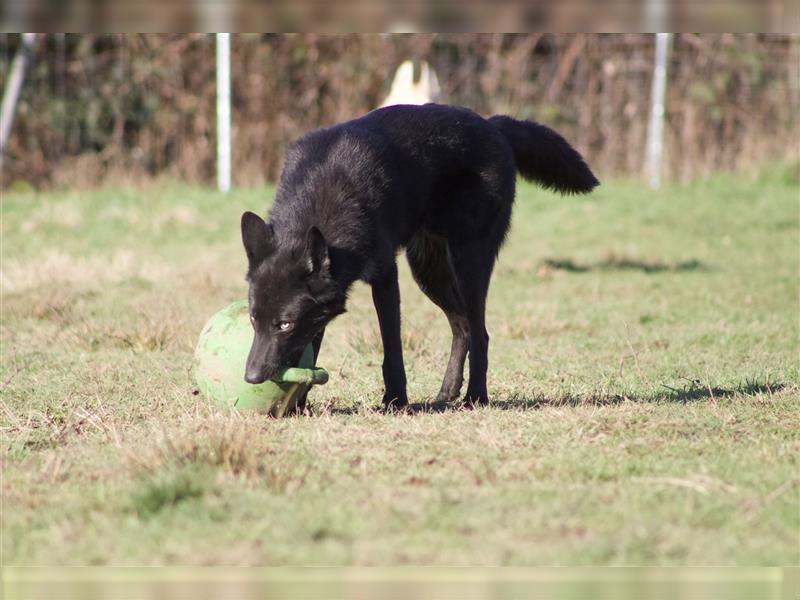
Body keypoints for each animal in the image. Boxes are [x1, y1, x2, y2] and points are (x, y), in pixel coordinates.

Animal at [241, 105, 596, 410]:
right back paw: (447, 392)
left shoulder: (386, 277)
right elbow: (311, 348)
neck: (321, 194)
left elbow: (392, 348)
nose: (251, 377)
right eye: (253, 319)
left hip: (468, 263)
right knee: (462, 327)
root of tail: (493, 124)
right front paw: (298, 403)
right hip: (428, 272)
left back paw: (475, 397)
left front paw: (395, 401)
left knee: (480, 333)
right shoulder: (322, 308)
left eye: (284, 324)